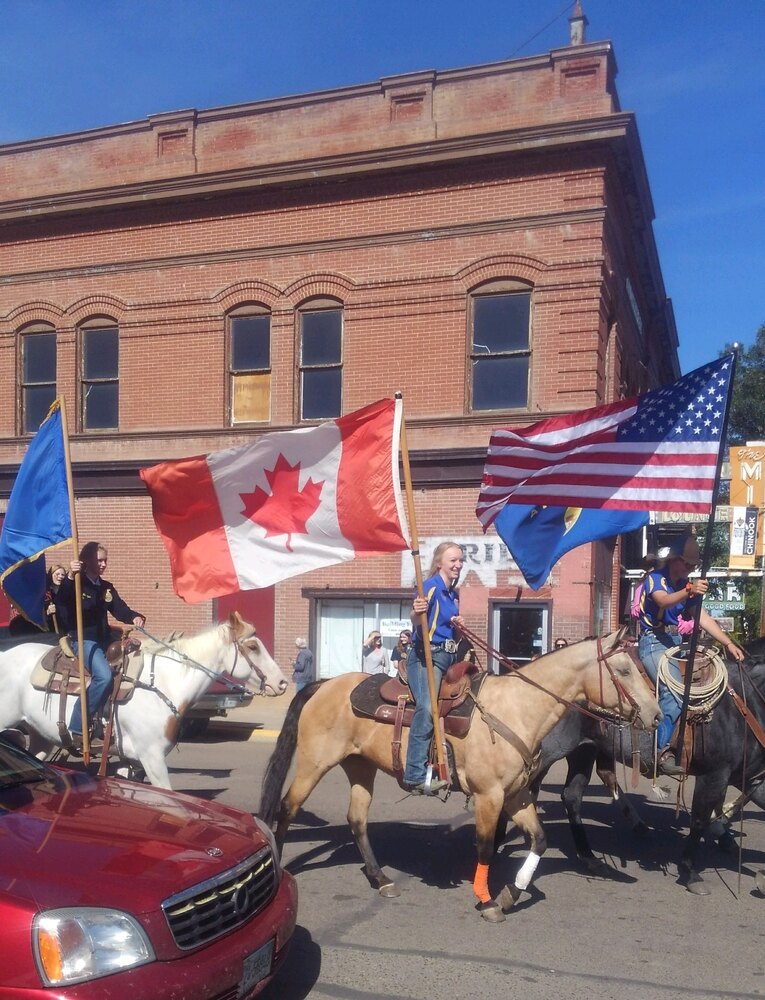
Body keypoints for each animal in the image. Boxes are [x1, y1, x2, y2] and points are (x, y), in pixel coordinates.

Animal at [0, 608, 290, 788]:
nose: (282, 683)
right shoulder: (152, 757)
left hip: (39, 735)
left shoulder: (134, 762)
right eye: (252, 646)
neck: (163, 684)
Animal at [258, 628, 664, 924]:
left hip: (360, 766)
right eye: (624, 670)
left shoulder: (516, 795)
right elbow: (483, 846)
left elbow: (539, 839)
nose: (656, 714)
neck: (518, 709)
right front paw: (486, 900)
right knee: (287, 807)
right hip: (314, 763)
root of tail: (324, 684)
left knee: (356, 819)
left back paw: (382, 879)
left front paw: (511, 893)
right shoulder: (489, 796)